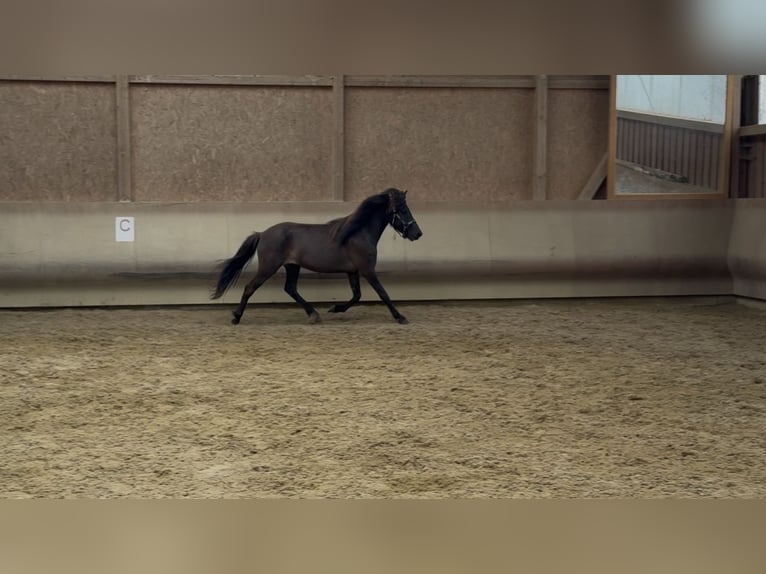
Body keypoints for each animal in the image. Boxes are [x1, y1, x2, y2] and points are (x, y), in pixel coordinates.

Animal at [211, 187, 423, 325]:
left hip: (292, 266)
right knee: (250, 287)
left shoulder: (353, 271)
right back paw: (236, 317)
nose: (418, 234)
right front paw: (400, 317)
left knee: (290, 288)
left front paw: (335, 308)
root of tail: (262, 233)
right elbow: (383, 293)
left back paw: (313, 314)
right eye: (403, 210)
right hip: (268, 267)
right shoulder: (367, 270)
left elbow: (357, 296)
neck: (358, 233)